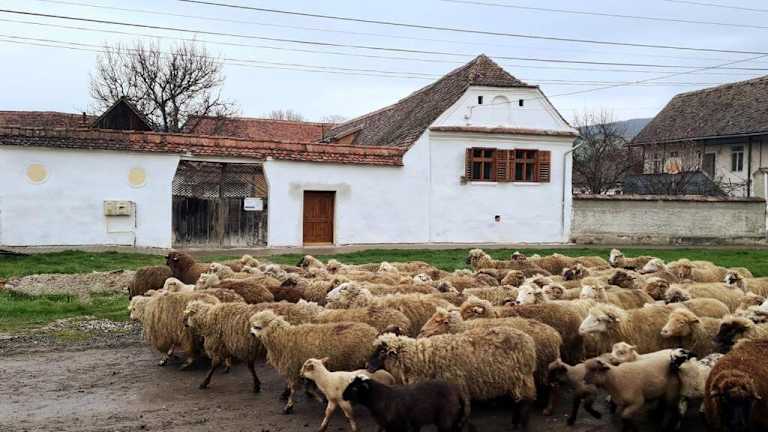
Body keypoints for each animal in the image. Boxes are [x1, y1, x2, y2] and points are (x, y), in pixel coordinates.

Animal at [248, 310, 378, 413]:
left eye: (257, 327)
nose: (251, 334)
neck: (283, 338)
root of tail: (373, 333)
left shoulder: (293, 368)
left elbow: (293, 389)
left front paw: (289, 406)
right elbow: (310, 386)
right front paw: (320, 398)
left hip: (358, 362)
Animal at [342, 376, 471, 432]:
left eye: (354, 388)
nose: (343, 395)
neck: (380, 398)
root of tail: (458, 391)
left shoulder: (400, 426)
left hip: (445, 421)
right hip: (455, 421)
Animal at [367, 327, 537, 430]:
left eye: (381, 352)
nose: (367, 365)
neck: (424, 358)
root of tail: (528, 340)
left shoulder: (457, 385)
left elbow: (465, 410)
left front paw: (460, 425)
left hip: (522, 377)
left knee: (525, 403)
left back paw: (522, 425)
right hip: (516, 380)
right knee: (518, 402)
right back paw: (515, 423)